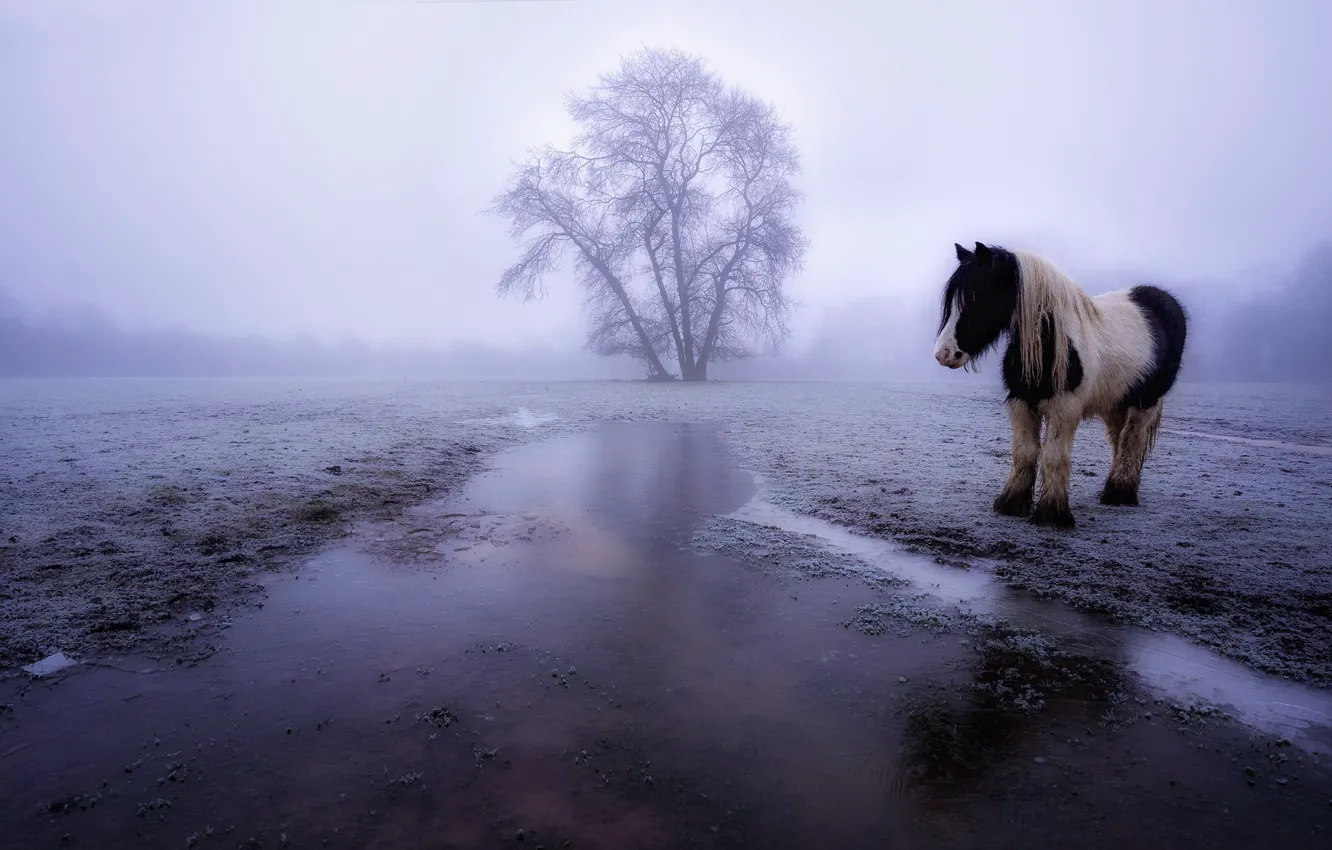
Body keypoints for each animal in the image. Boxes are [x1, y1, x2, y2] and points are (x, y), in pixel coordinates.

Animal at [933, 241, 1188, 529]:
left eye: (977, 295)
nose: (944, 353)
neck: (1051, 341)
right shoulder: (1021, 403)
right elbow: (1025, 452)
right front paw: (1012, 503)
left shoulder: (1065, 408)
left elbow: (1054, 456)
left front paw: (1052, 513)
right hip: (1115, 403)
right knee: (1119, 439)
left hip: (1145, 402)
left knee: (1131, 442)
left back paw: (1120, 493)